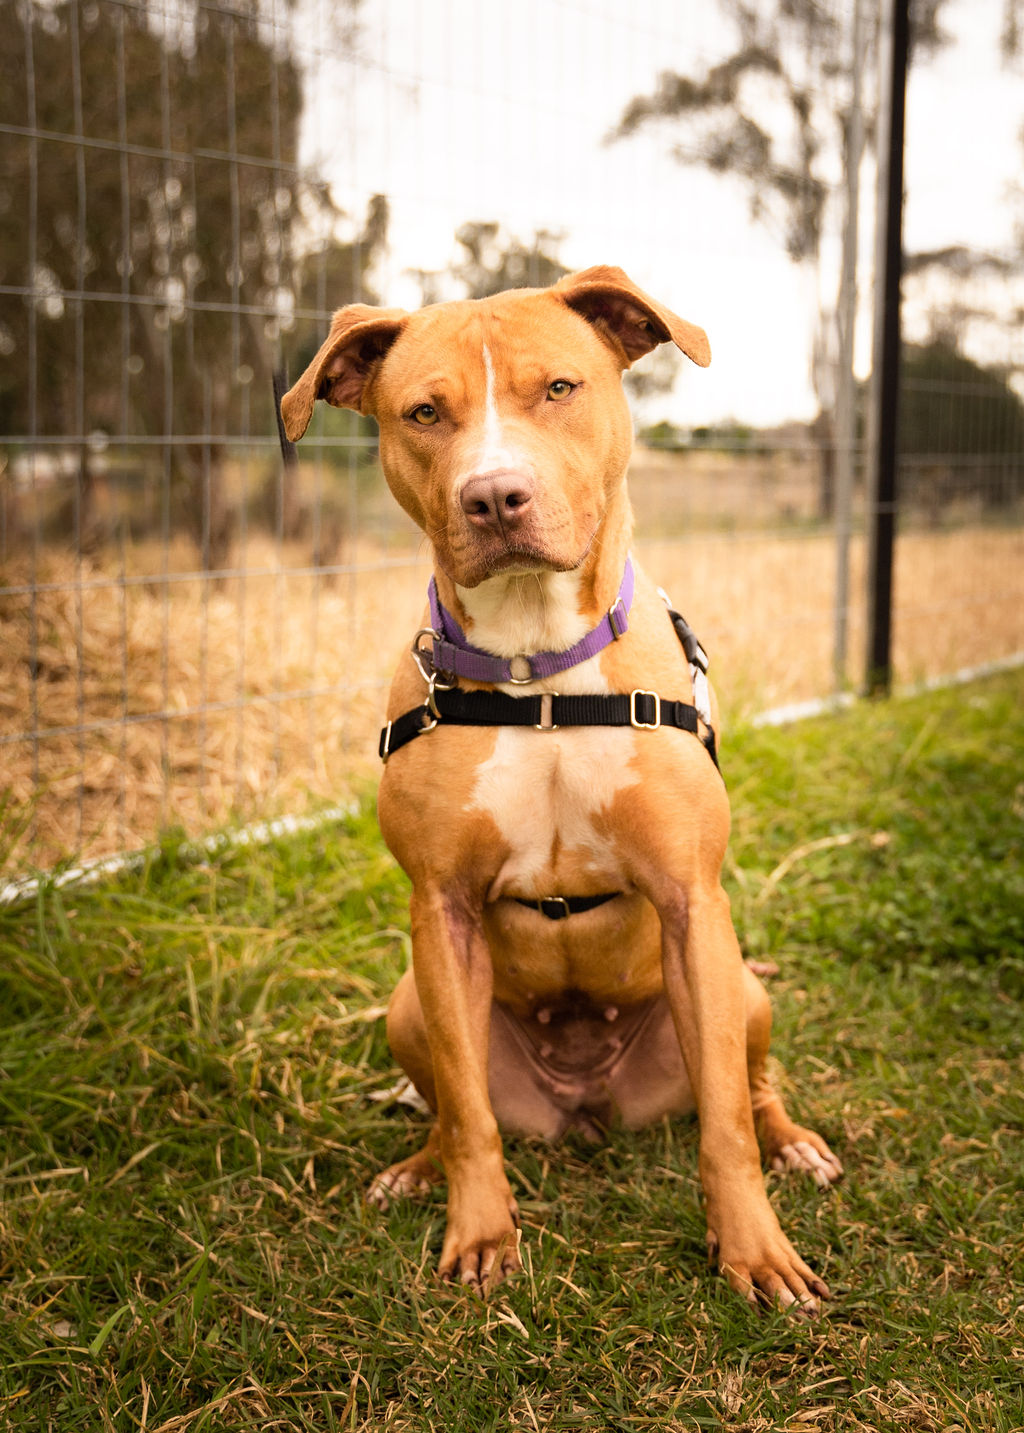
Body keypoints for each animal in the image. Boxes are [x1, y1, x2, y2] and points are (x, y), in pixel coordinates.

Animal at [281, 266, 842, 1311]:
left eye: (559, 389)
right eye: (424, 412)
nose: (495, 495)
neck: (536, 666)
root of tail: (588, 1104)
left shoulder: (691, 902)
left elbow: (724, 1128)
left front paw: (754, 1251)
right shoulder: (442, 909)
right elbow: (470, 1117)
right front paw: (479, 1232)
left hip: (742, 989)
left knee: (751, 1089)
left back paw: (796, 1145)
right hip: (409, 1004)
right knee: (447, 1105)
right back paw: (415, 1168)